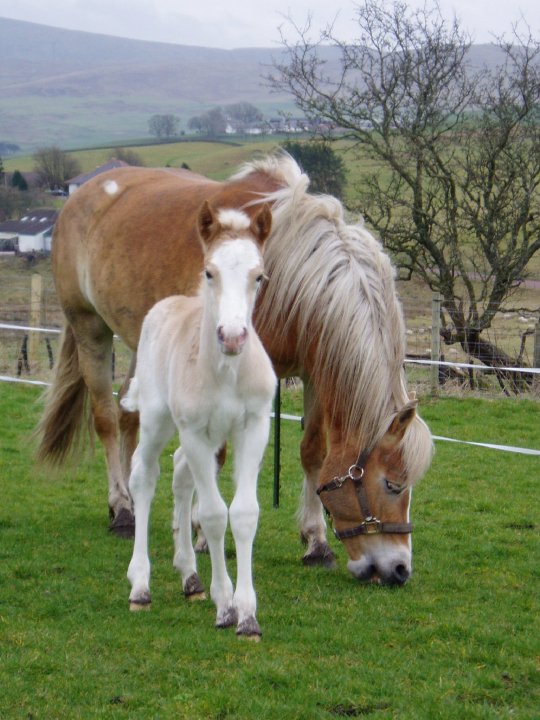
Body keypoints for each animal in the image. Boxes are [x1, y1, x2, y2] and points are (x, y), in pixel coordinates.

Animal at [37, 155, 434, 588]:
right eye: (392, 485)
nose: (399, 570)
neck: (288, 273)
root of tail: (84, 194)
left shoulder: (315, 370)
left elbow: (313, 451)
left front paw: (315, 541)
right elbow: (215, 455)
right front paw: (202, 534)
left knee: (130, 417)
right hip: (90, 328)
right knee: (107, 419)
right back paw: (122, 507)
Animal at [121, 200, 276, 640]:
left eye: (259, 276)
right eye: (210, 272)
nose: (233, 336)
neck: (226, 372)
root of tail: (164, 306)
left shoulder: (254, 428)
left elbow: (243, 513)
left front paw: (248, 615)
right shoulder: (194, 432)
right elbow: (212, 515)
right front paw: (225, 606)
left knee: (179, 476)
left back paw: (190, 577)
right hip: (158, 421)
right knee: (145, 476)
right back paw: (140, 586)